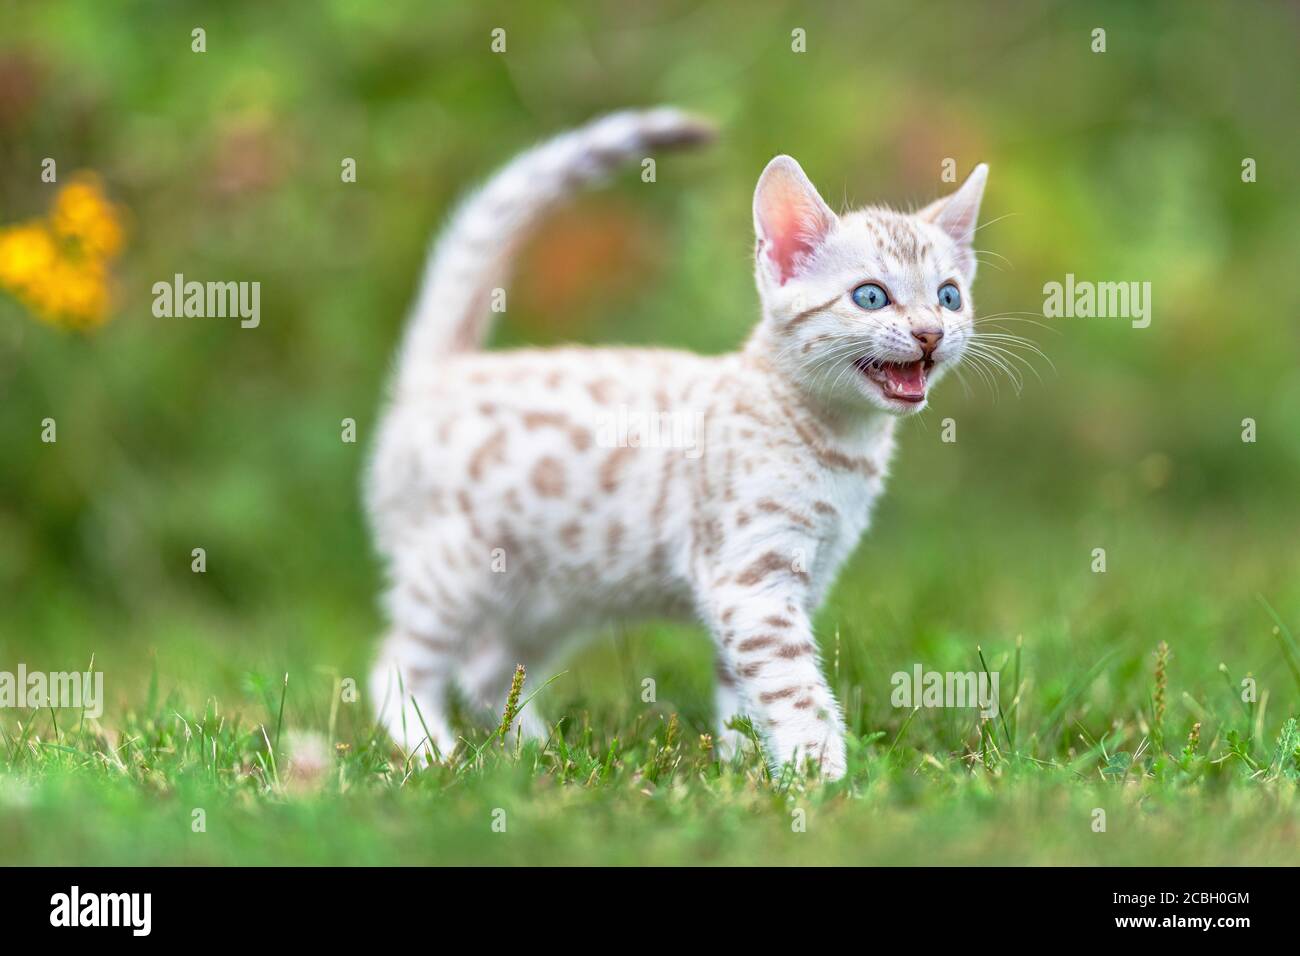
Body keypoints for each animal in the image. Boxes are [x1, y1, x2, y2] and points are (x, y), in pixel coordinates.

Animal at [366, 106, 982, 780]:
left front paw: (746, 770)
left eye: (949, 296)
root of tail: (439, 371)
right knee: (398, 663)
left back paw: (537, 754)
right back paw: (429, 750)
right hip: (456, 564)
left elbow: (742, 692)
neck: (840, 446)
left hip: (550, 588)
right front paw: (820, 778)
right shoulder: (752, 581)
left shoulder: (788, 581)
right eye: (871, 295)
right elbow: (795, 687)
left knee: (486, 670)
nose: (930, 333)